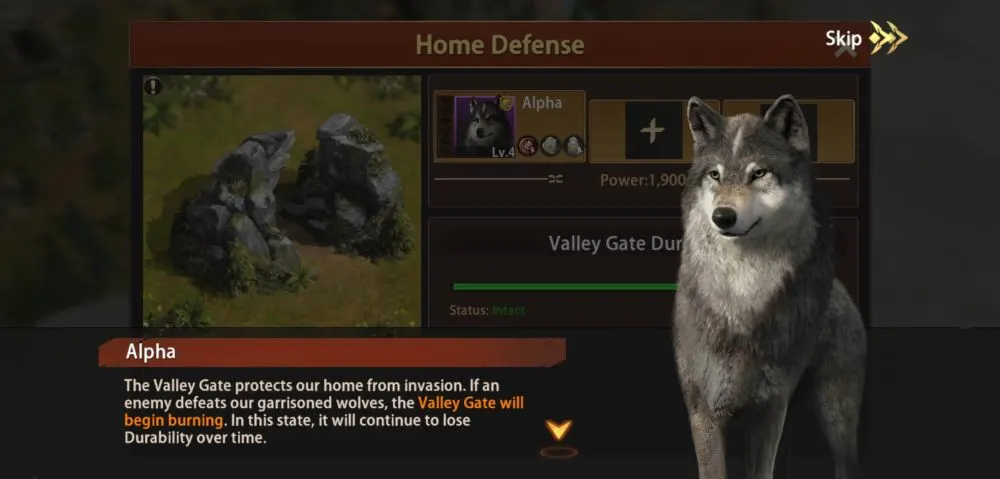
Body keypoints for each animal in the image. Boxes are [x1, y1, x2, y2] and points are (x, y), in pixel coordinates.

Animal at [673, 95, 866, 479]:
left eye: (758, 173)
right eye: (715, 175)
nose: (723, 217)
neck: (741, 299)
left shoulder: (769, 409)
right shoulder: (705, 411)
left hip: (836, 418)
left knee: (847, 463)